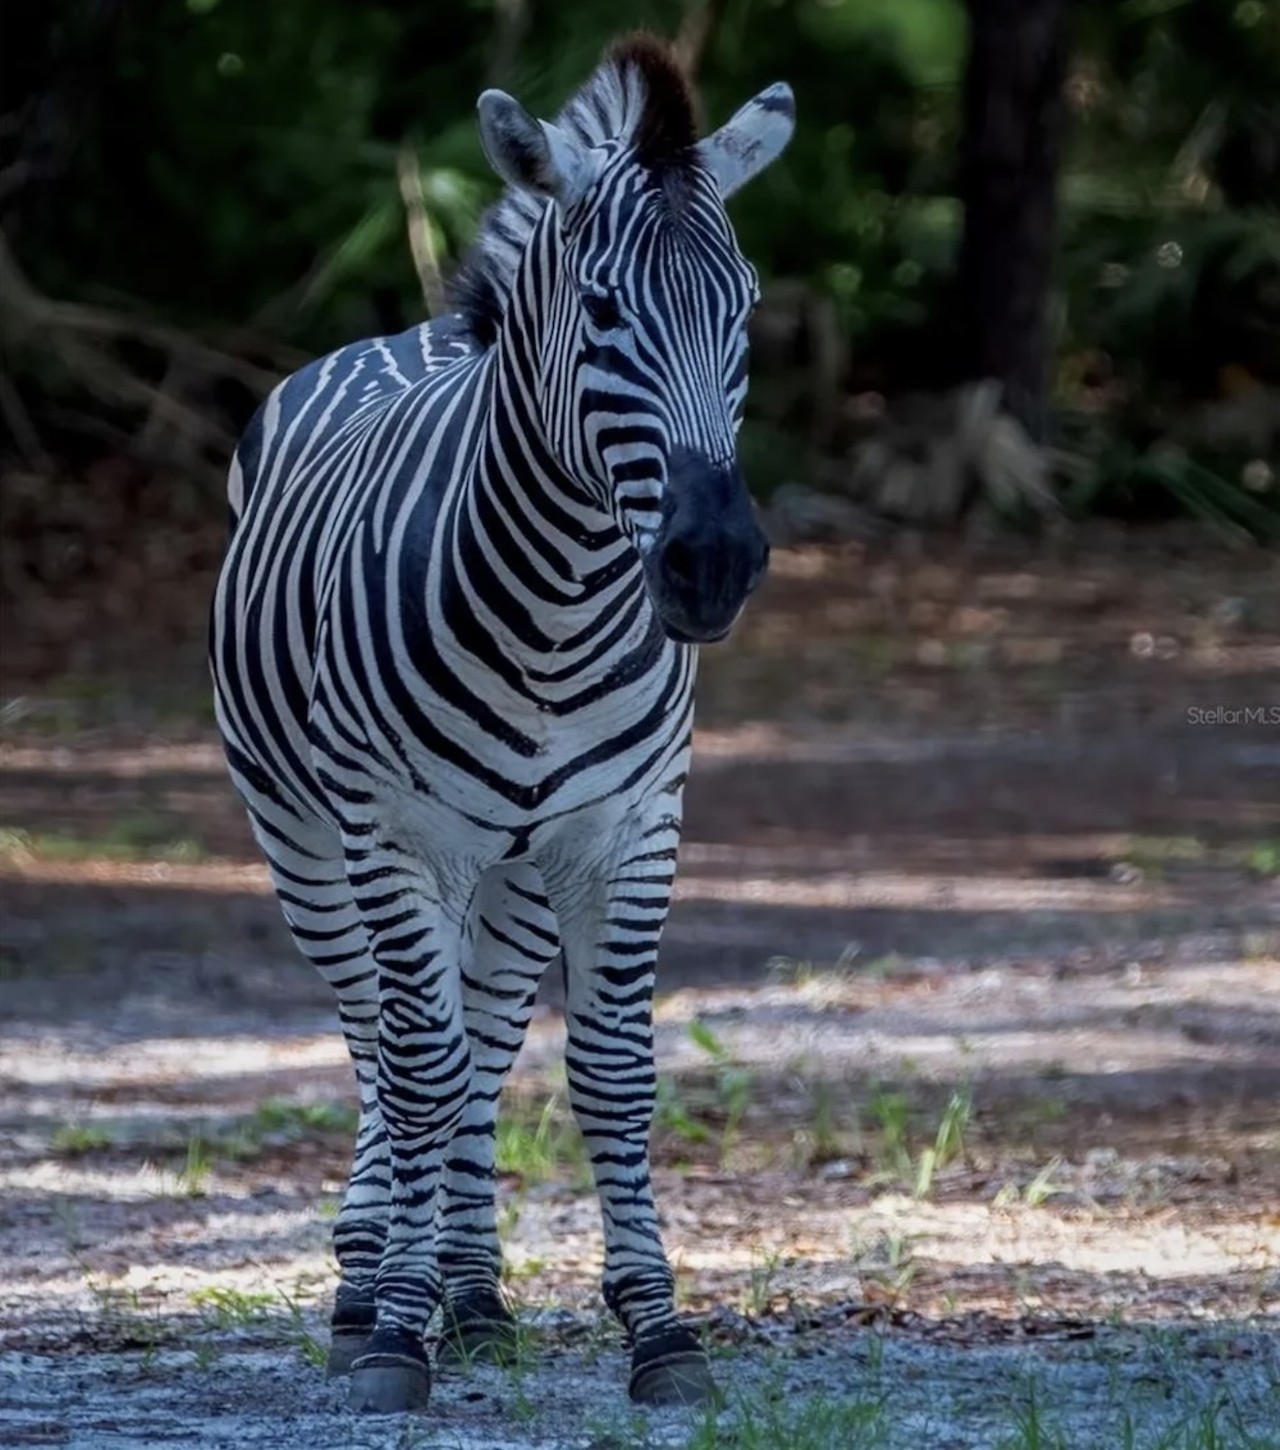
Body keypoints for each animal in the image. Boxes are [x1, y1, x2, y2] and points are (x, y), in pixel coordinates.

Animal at [210, 31, 788, 1415]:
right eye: (604, 312)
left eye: (744, 312)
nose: (711, 565)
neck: (555, 612)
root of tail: (416, 332)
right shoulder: (395, 835)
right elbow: (413, 1063)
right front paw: (391, 1334)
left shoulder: (628, 832)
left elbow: (608, 1074)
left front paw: (658, 1330)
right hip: (303, 838)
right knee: (381, 1036)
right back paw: (372, 1281)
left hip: (518, 868)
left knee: (475, 1041)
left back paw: (471, 1297)